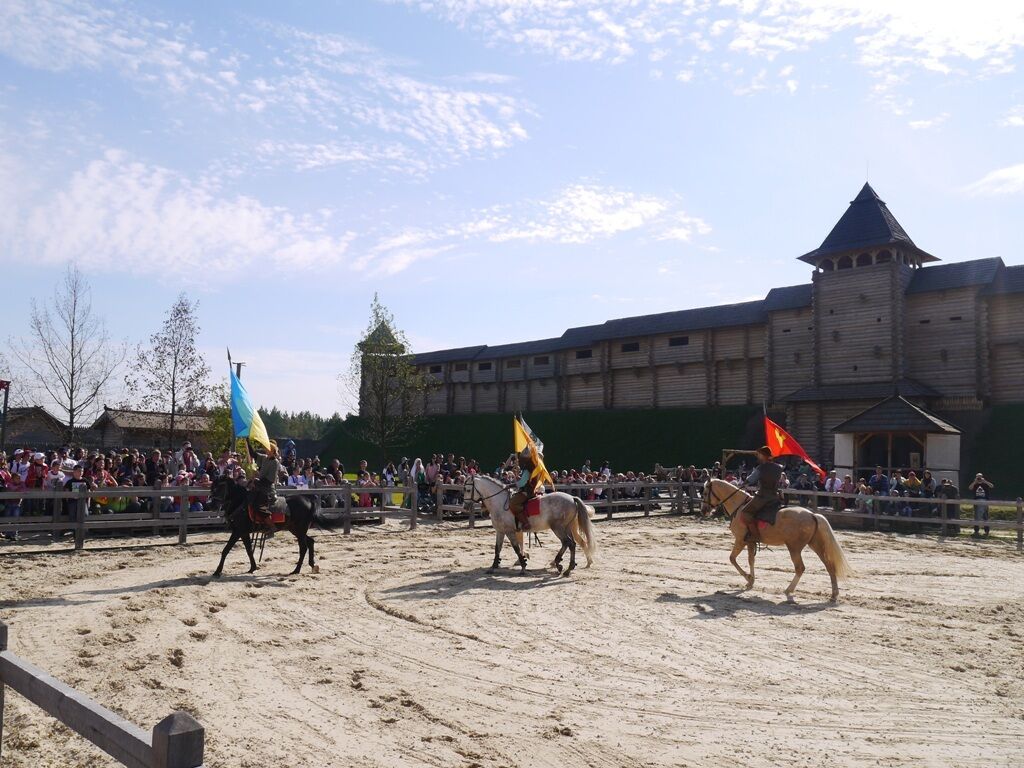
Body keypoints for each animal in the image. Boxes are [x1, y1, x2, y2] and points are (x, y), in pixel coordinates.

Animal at [462, 475, 598, 577]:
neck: (499, 503)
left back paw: (564, 566)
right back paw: (565, 565)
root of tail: (572, 498)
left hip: (558, 528)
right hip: (567, 527)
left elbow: (516, 549)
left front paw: (523, 566)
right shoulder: (500, 531)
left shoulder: (510, 532)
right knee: (572, 544)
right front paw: (493, 567)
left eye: (468, 490)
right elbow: (497, 549)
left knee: (568, 543)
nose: (465, 506)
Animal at [704, 481, 856, 602]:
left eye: (705, 491)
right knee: (829, 566)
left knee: (800, 568)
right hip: (816, 546)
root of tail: (812, 515)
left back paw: (789, 590)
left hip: (794, 548)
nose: (704, 509)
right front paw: (751, 581)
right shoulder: (750, 542)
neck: (739, 506)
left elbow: (732, 559)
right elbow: (751, 560)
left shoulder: (740, 540)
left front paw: (748, 578)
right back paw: (834, 594)